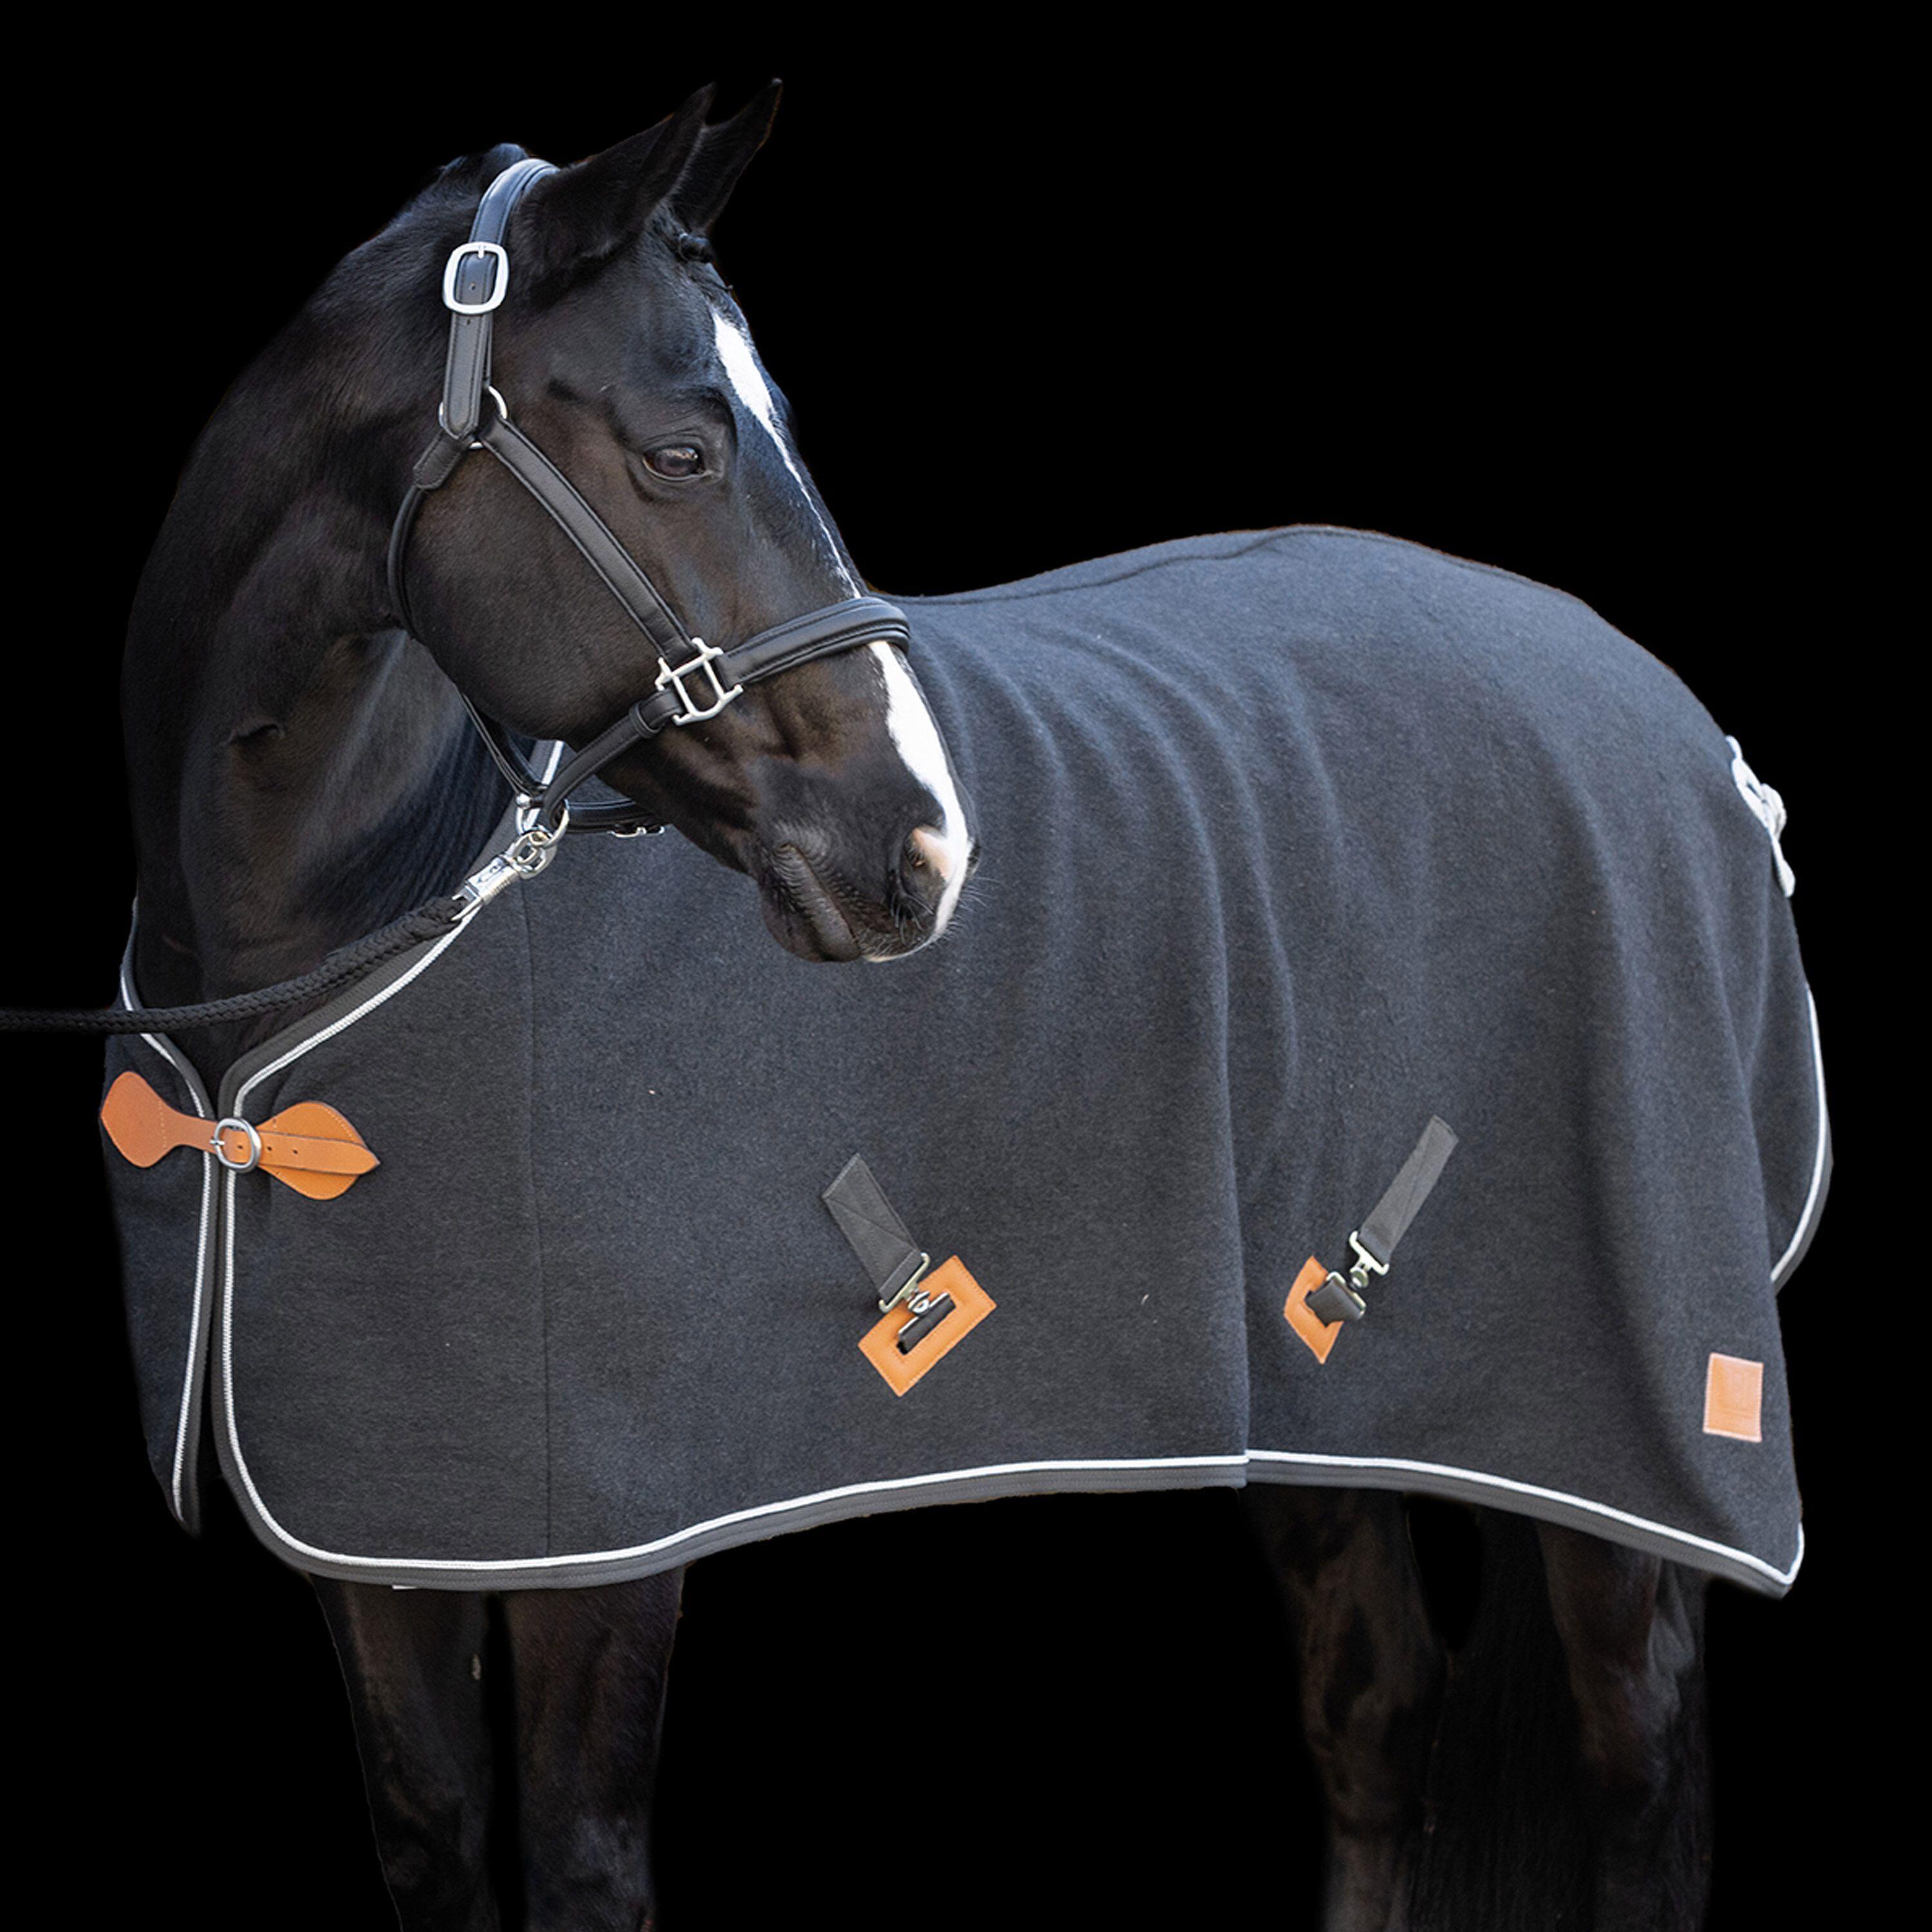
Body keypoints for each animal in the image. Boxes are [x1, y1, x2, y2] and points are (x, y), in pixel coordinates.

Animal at [83, 87, 1823, 1932]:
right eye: (682, 451)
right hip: (1312, 1385)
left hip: (1619, 1427)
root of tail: (1687, 726)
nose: (918, 844)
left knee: (1636, 1764)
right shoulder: (379, 1531)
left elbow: (580, 1859)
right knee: (1375, 1718)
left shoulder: (600, 1547)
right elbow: (436, 1832)